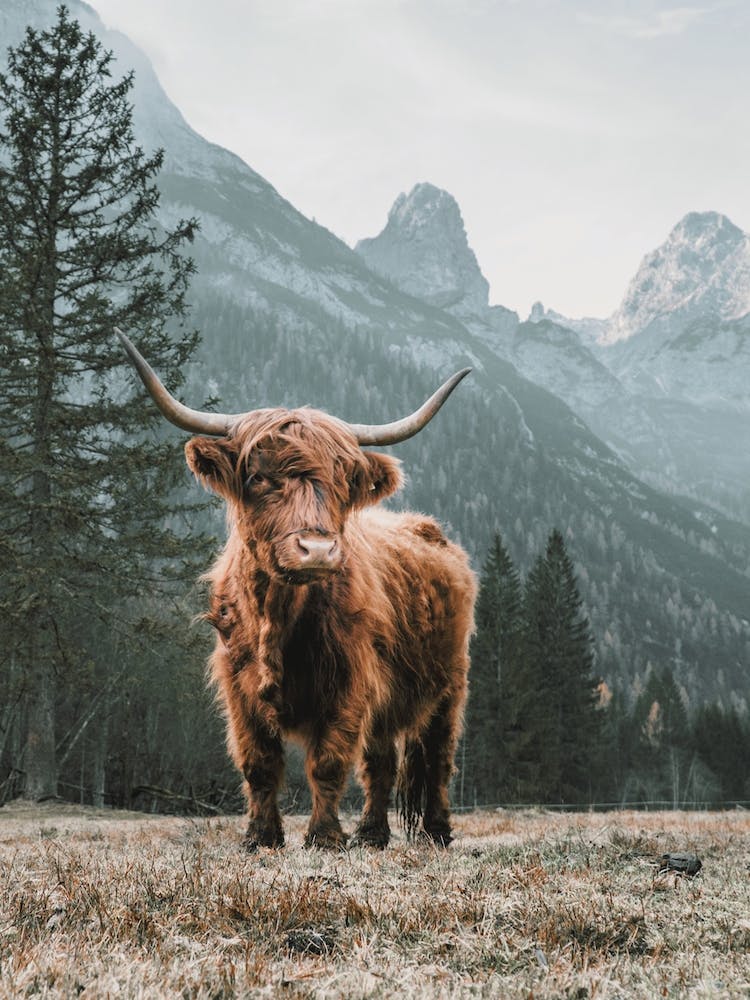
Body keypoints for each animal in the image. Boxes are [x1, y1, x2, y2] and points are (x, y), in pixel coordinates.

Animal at [117, 329, 476, 850]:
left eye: (343, 481)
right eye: (258, 477)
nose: (318, 550)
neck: (278, 617)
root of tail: (428, 528)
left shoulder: (350, 683)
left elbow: (328, 763)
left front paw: (324, 837)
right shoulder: (238, 687)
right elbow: (259, 764)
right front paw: (260, 837)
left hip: (450, 684)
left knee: (438, 759)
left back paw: (437, 832)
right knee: (382, 763)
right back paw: (371, 834)